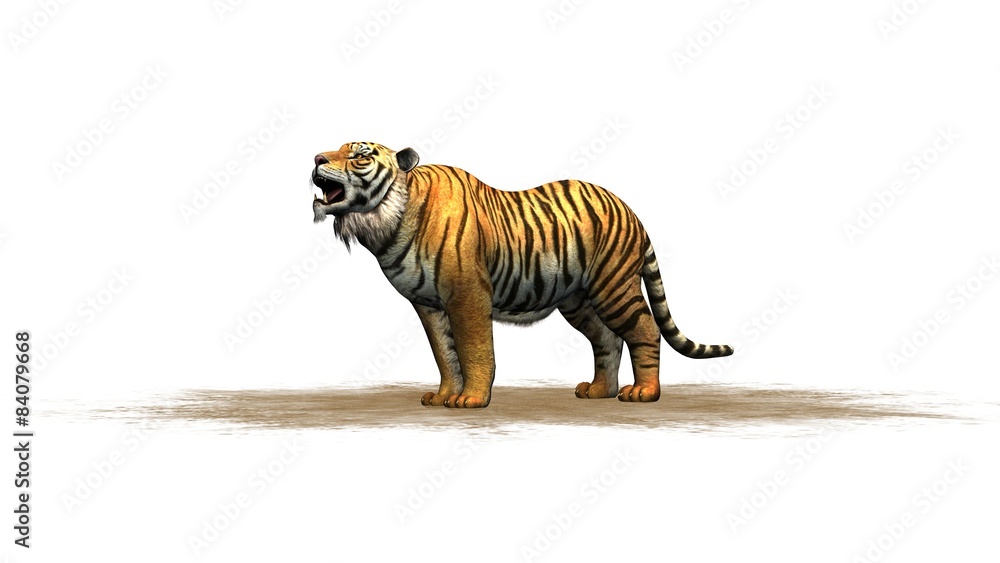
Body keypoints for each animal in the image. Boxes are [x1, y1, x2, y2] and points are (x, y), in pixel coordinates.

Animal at [311, 141, 733, 408]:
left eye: (360, 155)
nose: (315, 158)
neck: (388, 221)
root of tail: (630, 210)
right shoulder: (428, 304)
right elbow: (445, 353)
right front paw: (442, 396)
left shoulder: (467, 294)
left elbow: (474, 350)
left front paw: (470, 399)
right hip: (577, 300)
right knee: (607, 339)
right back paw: (598, 391)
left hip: (613, 286)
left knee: (645, 329)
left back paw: (643, 393)